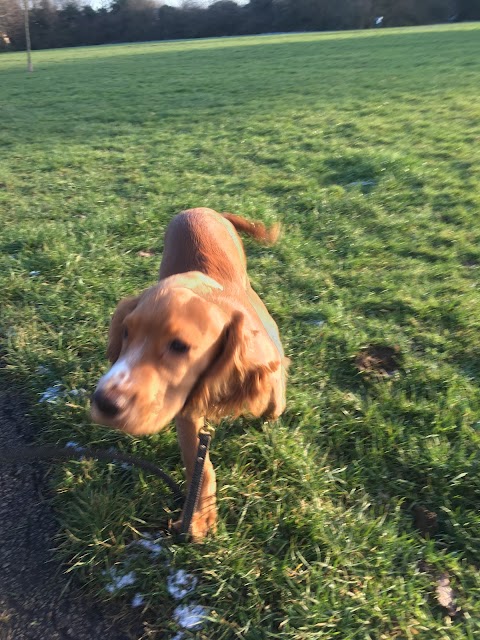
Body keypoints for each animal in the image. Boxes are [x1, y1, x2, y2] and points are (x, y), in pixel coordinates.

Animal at [91, 208, 286, 536]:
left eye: (179, 346)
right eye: (126, 332)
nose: (103, 403)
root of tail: (203, 209)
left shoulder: (270, 357)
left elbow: (275, 395)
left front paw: (271, 413)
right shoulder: (185, 410)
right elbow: (200, 464)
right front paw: (200, 516)